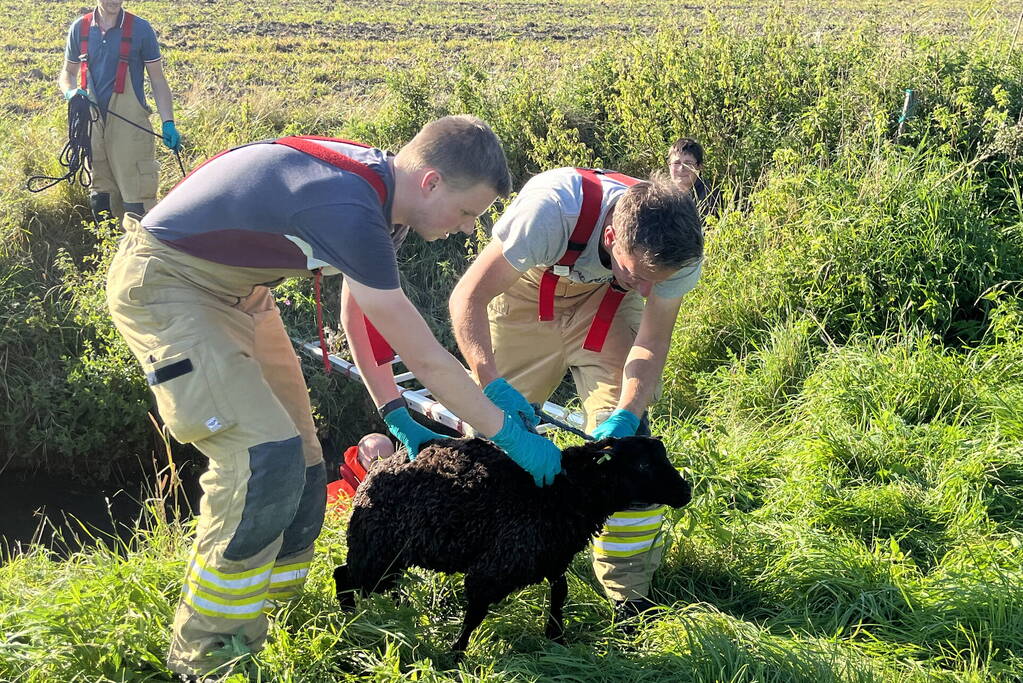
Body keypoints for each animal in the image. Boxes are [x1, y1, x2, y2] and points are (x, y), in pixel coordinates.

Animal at [335, 435, 695, 654]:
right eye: (643, 464)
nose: (686, 491)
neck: (564, 493)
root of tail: (377, 467)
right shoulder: (495, 568)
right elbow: (475, 614)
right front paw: (455, 654)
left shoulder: (551, 558)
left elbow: (559, 594)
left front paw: (556, 638)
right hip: (376, 549)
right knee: (343, 575)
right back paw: (351, 621)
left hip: (390, 555)